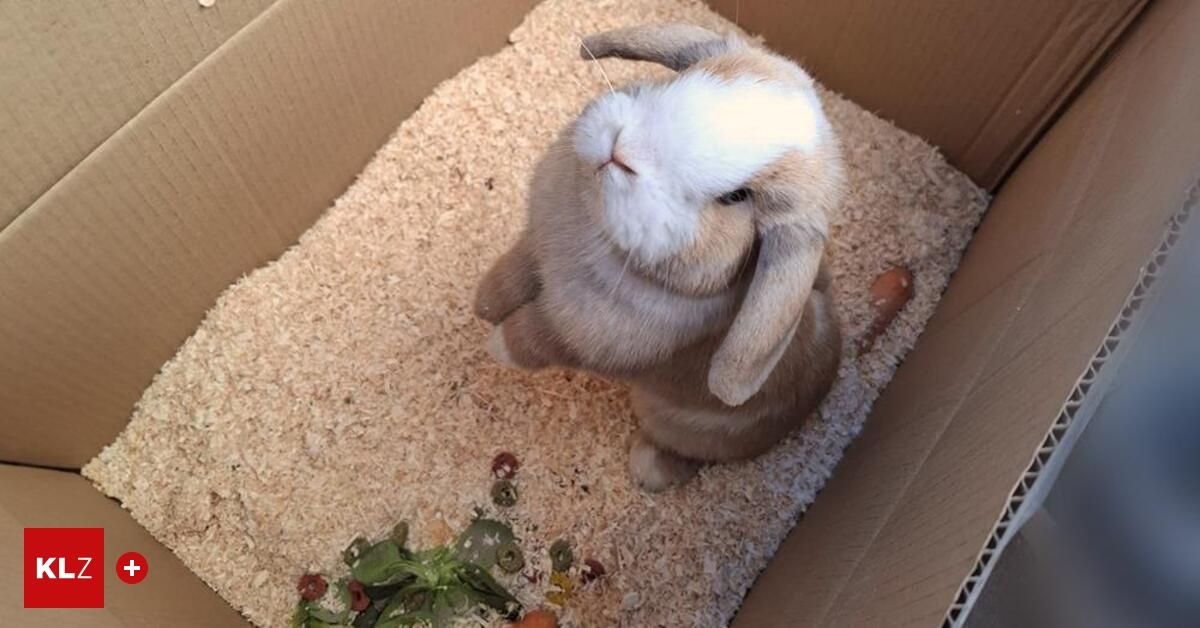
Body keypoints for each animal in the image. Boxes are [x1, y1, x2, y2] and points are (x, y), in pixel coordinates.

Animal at [473, 24, 844, 491]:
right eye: (688, 78)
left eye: (736, 197)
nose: (622, 149)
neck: (595, 227)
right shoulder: (534, 243)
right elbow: (511, 276)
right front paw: (482, 305)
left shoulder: (576, 337)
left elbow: (531, 338)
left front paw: (496, 347)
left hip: (673, 425)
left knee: (686, 457)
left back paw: (648, 467)